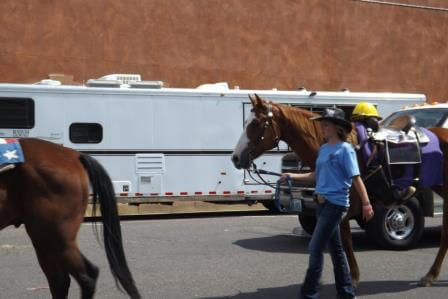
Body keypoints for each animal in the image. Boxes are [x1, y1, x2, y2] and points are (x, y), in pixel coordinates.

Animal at [233, 95, 448, 288]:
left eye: (256, 123)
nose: (235, 158)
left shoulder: (345, 205)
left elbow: (345, 242)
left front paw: (352, 278)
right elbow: (325, 241)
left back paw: (431, 275)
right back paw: (432, 275)